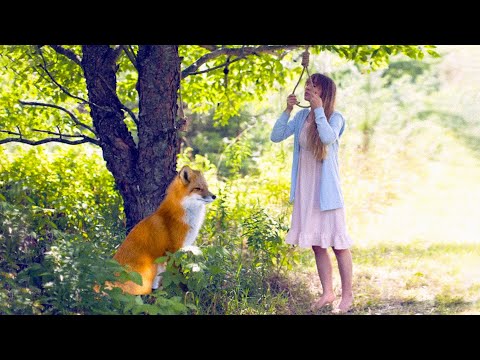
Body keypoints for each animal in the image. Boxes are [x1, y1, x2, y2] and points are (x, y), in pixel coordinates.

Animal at [109, 166, 216, 296]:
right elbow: (178, 274)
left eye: (206, 187)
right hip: (150, 266)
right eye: (198, 188)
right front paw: (184, 291)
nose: (214, 196)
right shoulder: (174, 251)